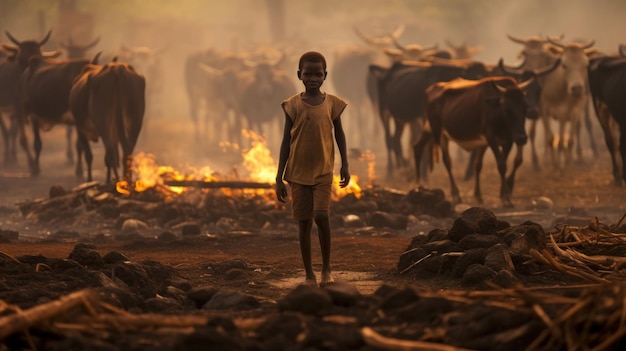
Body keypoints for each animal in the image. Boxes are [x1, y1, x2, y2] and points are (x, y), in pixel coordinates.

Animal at [0, 30, 59, 166]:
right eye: (20, 60)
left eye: (39, 59)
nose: (28, 79)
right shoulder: (18, 108)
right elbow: (21, 138)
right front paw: (31, 164)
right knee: (6, 133)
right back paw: (7, 158)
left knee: (11, 132)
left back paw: (13, 157)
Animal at [414, 76, 532, 208]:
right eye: (507, 110)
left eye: (526, 108)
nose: (522, 138)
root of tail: (430, 89)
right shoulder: (491, 138)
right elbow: (501, 165)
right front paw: (506, 197)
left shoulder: (508, 141)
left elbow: (490, 164)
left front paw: (497, 195)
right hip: (438, 132)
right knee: (447, 161)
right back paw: (456, 195)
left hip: (428, 129)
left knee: (417, 148)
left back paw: (418, 186)